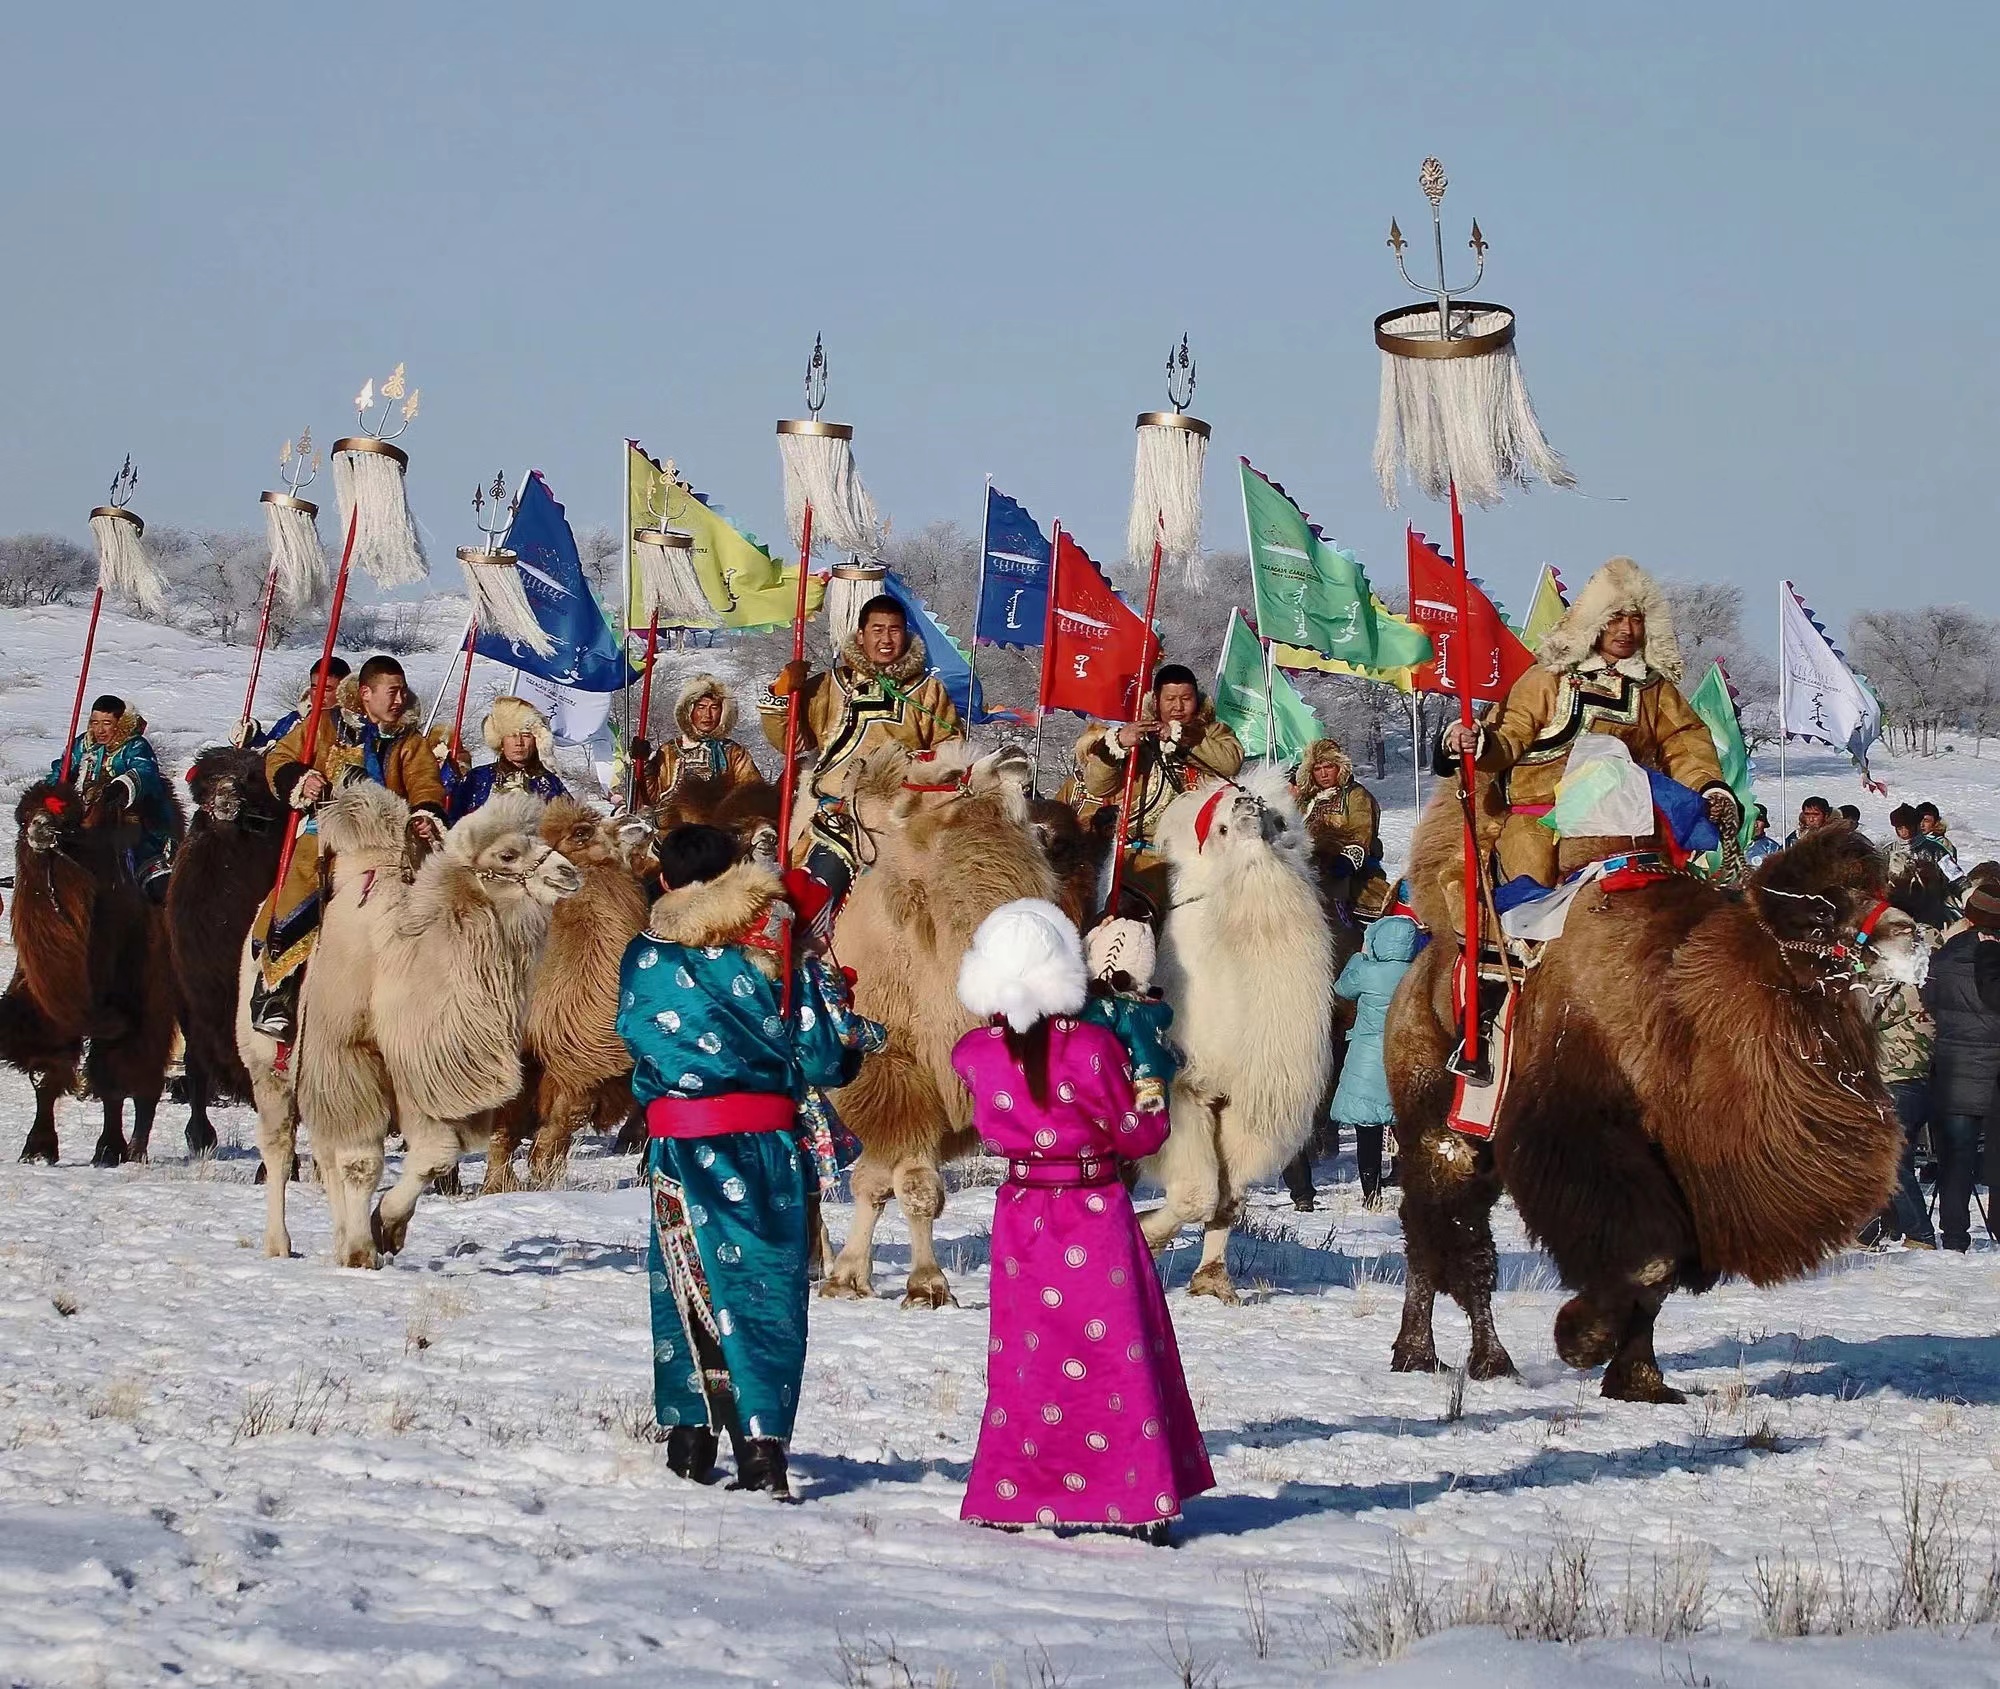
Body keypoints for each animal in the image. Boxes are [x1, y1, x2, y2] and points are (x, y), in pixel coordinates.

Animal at [4, 776, 182, 1160]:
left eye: (66, 825)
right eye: (23, 818)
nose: (40, 830)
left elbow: (116, 1076)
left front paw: (109, 1149)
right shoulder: (40, 1003)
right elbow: (45, 1071)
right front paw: (37, 1149)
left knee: (146, 1075)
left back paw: (136, 1151)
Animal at [820, 740, 1064, 1304]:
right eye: (949, 777)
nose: (1014, 750)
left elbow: (885, 1180)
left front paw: (862, 1276)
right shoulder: (889, 1069)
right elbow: (909, 1182)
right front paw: (923, 1284)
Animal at [1384, 792, 1912, 1400]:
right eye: (1821, 912)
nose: (1906, 932)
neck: (1679, 1012)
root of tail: (1413, 980)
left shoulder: (1685, 1173)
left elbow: (1660, 1279)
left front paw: (1640, 1382)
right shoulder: (1584, 1140)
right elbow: (1648, 1260)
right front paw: (1580, 1339)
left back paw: (1447, 1358)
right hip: (1438, 1127)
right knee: (1447, 1235)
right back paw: (1452, 1358)